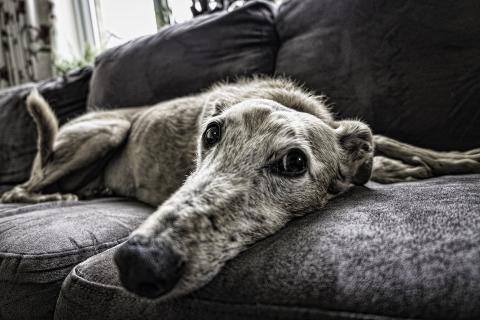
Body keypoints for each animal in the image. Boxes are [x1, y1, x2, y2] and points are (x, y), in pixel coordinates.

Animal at [0, 77, 480, 300]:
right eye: (210, 133)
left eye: (294, 162)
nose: (138, 263)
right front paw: (402, 168)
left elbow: (390, 140)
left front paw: (455, 159)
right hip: (105, 131)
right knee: (19, 190)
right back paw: (56, 195)